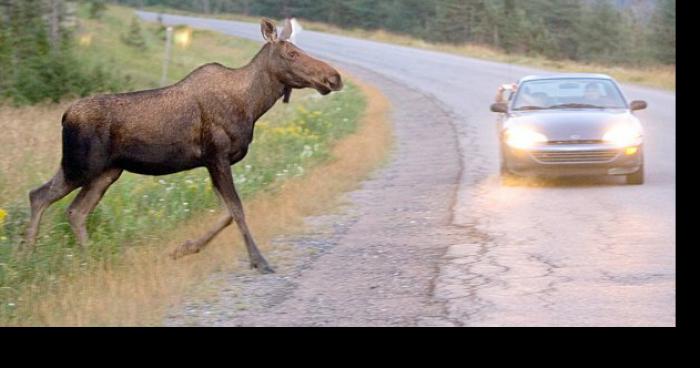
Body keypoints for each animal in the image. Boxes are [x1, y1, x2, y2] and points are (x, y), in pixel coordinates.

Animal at [25, 18, 344, 274]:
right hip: (81, 165)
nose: (334, 77)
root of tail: (65, 116)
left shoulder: (212, 162)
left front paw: (183, 249)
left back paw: (87, 260)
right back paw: (28, 255)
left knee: (75, 210)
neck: (253, 105)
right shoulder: (217, 155)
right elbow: (237, 210)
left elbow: (226, 213)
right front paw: (259, 261)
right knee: (39, 196)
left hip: (106, 172)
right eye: (292, 53)